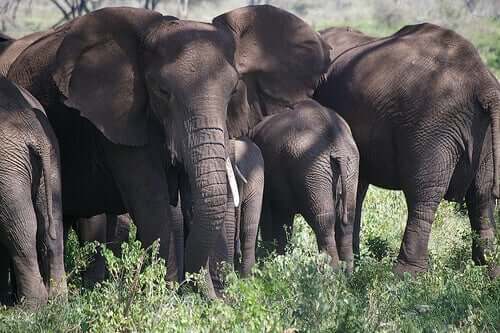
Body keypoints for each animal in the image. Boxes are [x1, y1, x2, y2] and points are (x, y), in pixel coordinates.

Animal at [0, 75, 66, 306]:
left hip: (8, 166)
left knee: (21, 225)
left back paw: (30, 307)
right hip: (52, 159)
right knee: (52, 221)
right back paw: (57, 301)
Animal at [252, 98, 362, 270]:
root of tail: (338, 148)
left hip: (313, 169)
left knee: (323, 221)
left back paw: (332, 273)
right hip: (348, 167)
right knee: (346, 219)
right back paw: (347, 273)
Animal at [316, 24, 500, 276]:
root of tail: (484, 84)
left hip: (431, 126)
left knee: (423, 195)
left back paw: (404, 276)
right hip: (480, 131)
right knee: (481, 195)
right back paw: (489, 272)